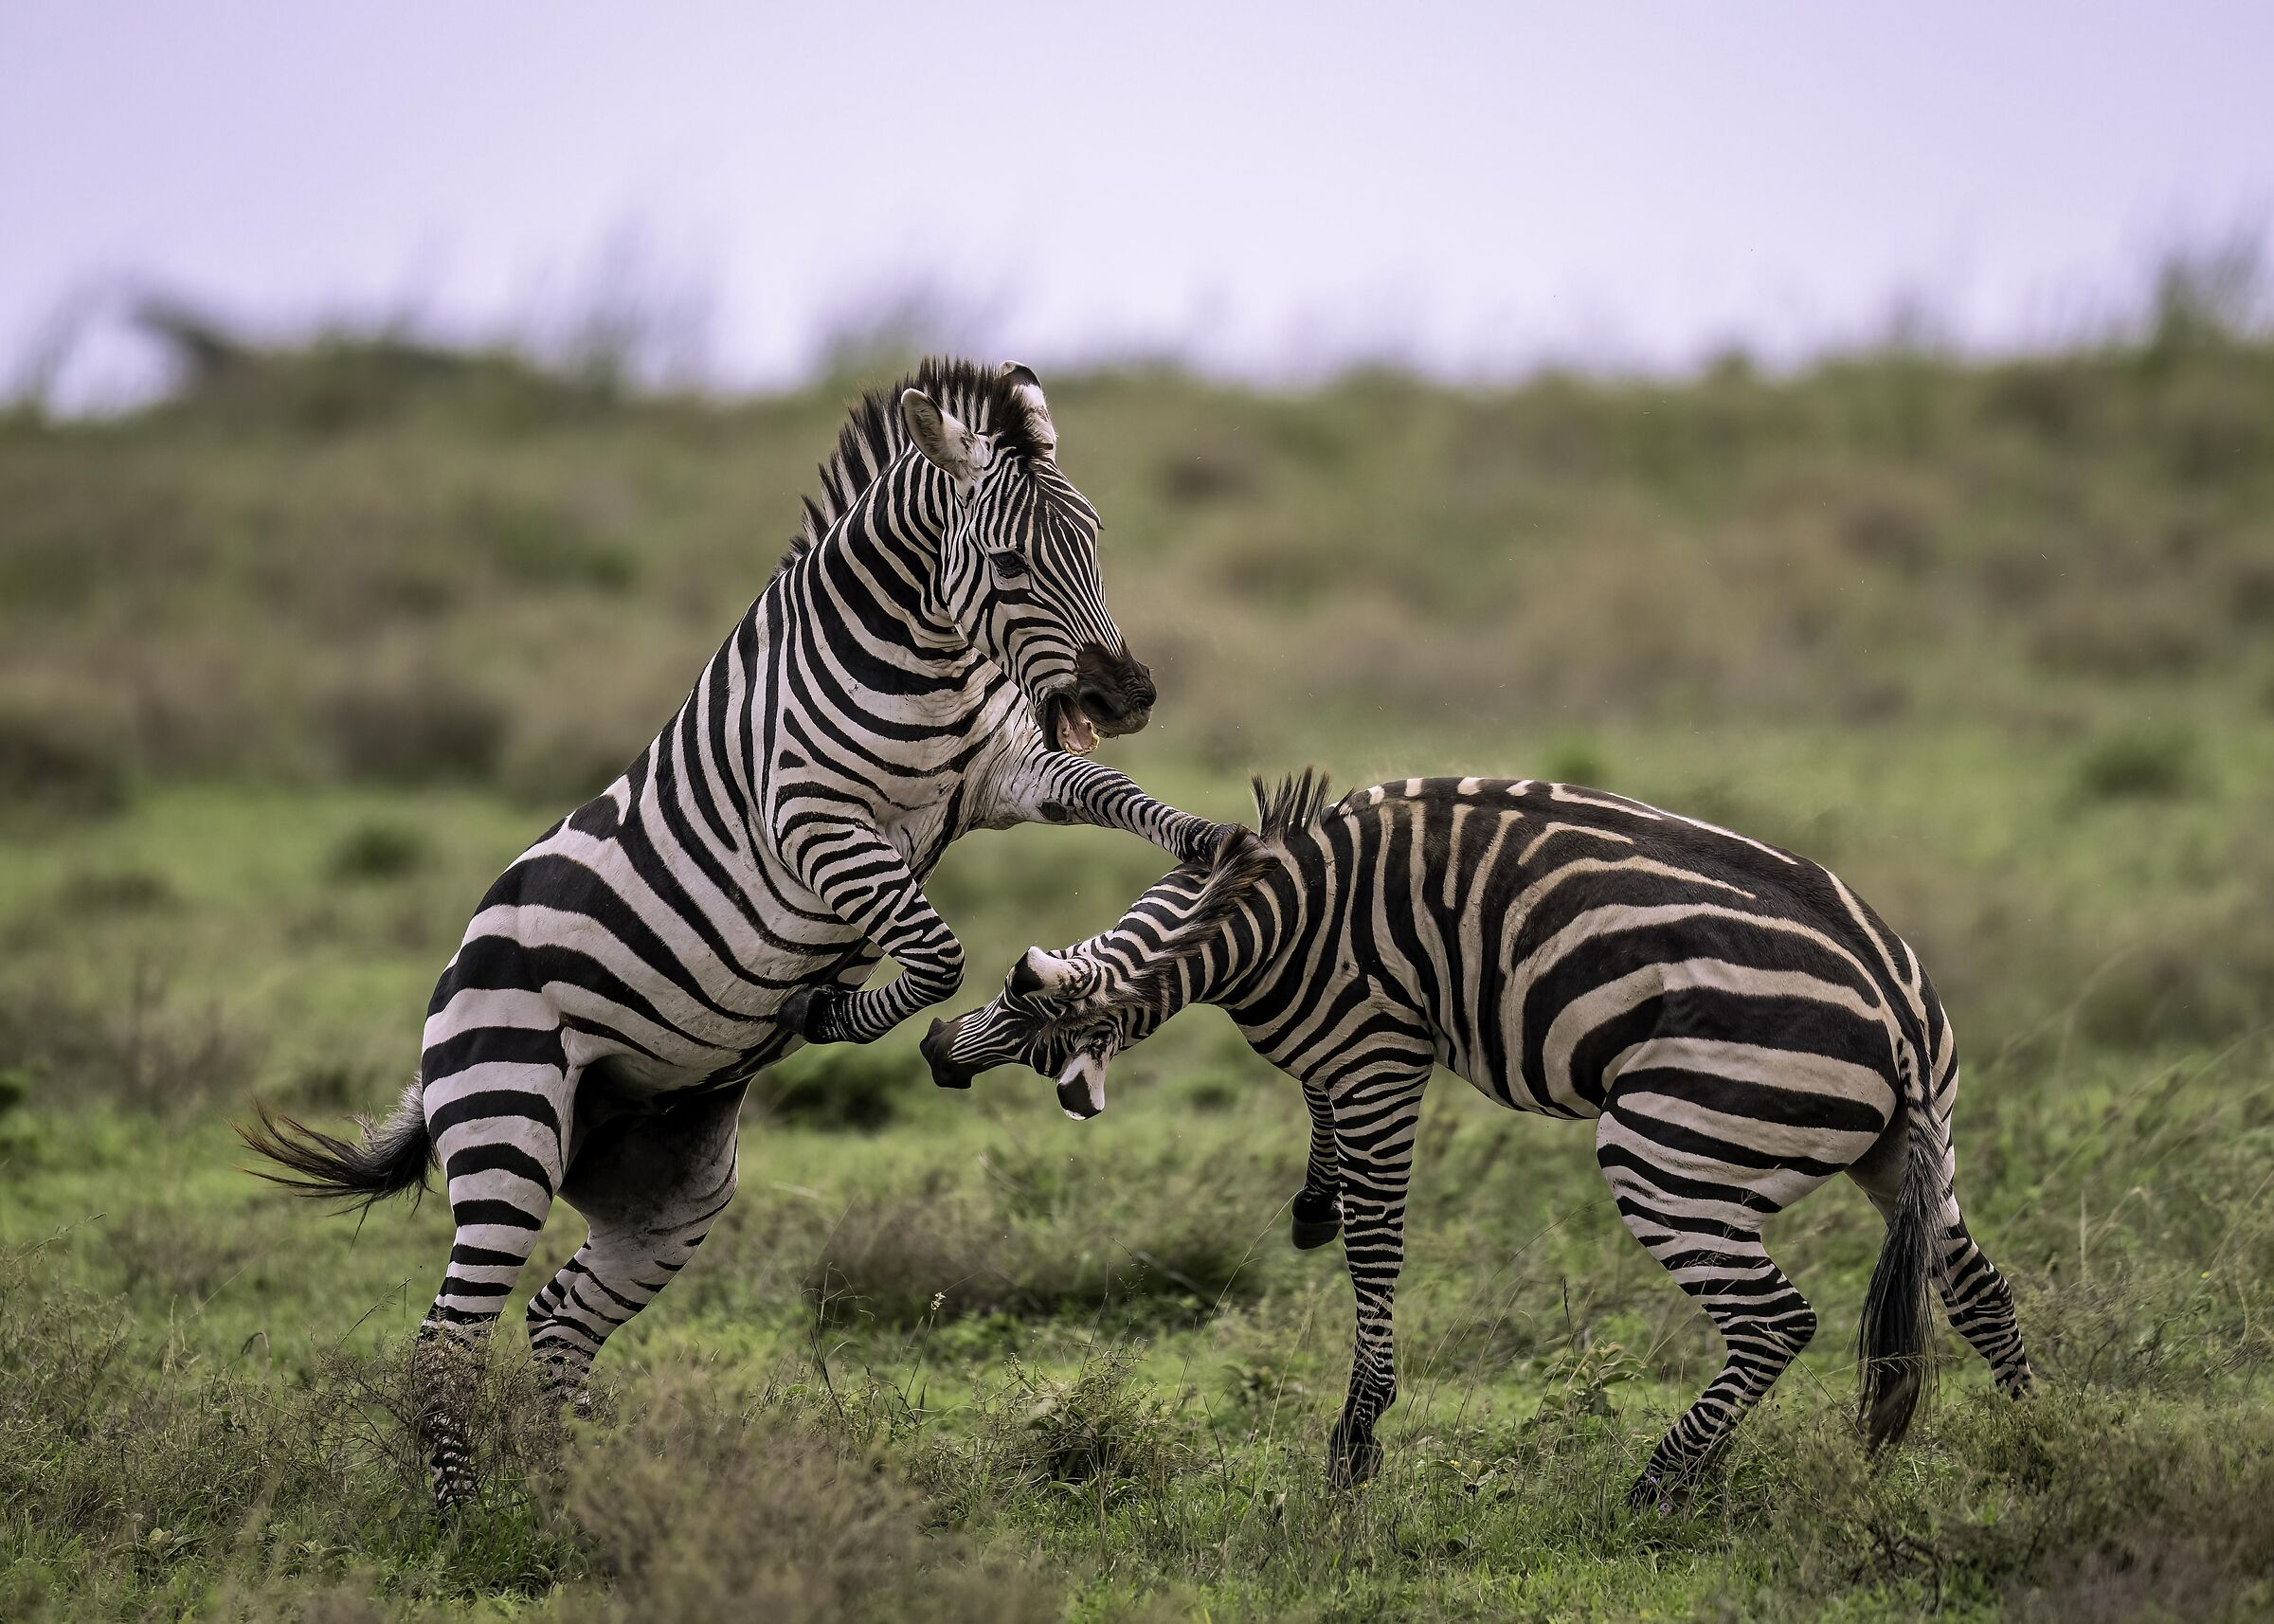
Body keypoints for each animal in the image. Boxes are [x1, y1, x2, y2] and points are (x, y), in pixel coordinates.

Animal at [239, 358, 1223, 1512]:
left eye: (1096, 538)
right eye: (1013, 561)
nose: (1128, 696)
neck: (925, 662)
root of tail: (447, 986)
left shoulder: (1004, 774)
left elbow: (1125, 799)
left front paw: (1226, 844)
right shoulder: (812, 824)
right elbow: (936, 950)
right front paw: (834, 1012)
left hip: (669, 1189)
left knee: (558, 1316)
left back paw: (588, 1486)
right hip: (507, 1130)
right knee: (447, 1337)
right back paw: (463, 1514)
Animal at [921, 772, 2034, 1506]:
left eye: (1026, 1024)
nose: (934, 1052)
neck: (1259, 909)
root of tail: (1899, 1012)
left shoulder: (1377, 1049)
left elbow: (1375, 1242)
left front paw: (1357, 1439)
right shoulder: (1336, 1031)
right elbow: (1322, 1134)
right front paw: (1312, 1201)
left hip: (1671, 1149)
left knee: (1775, 1320)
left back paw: (1655, 1487)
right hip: (1905, 1149)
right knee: (1975, 1284)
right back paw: (2031, 1440)